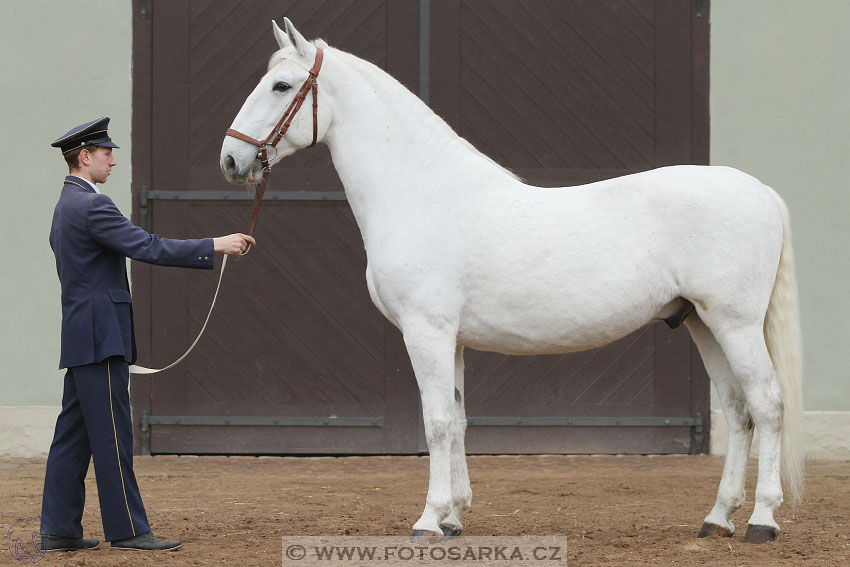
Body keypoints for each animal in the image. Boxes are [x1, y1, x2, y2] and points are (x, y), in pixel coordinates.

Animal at [219, 20, 800, 544]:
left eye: (282, 85)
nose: (231, 158)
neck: (423, 194)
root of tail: (764, 193)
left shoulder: (426, 332)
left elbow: (436, 421)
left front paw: (428, 521)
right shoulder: (450, 339)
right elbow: (457, 419)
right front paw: (454, 518)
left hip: (735, 323)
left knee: (768, 405)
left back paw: (762, 522)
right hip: (702, 322)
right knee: (739, 411)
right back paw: (716, 519)